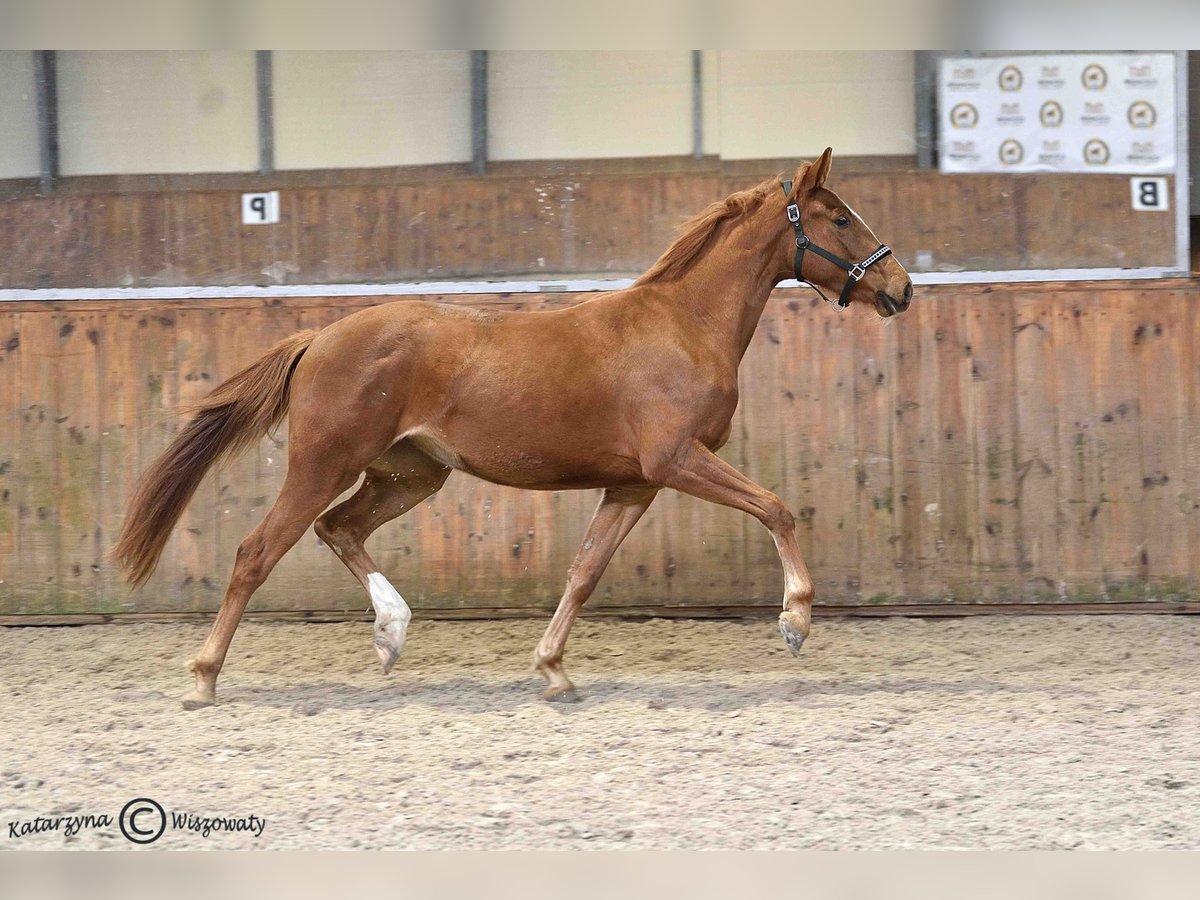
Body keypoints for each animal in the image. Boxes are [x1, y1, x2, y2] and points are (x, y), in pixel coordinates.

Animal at [113, 148, 913, 709]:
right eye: (841, 217)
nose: (900, 288)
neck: (684, 326)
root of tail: (318, 339)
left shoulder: (633, 485)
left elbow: (584, 574)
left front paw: (553, 672)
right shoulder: (676, 461)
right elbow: (777, 508)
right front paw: (796, 621)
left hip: (410, 475)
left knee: (338, 529)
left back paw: (391, 633)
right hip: (323, 466)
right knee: (257, 552)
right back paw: (204, 678)